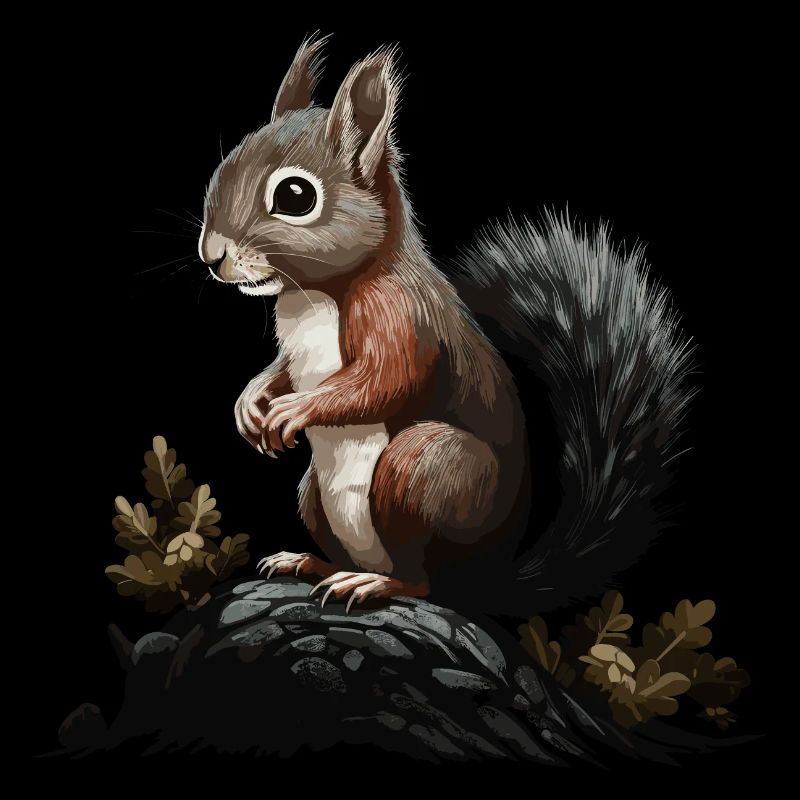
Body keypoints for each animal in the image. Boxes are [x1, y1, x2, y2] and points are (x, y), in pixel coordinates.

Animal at [198, 35, 694, 616]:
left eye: (295, 196)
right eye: (225, 165)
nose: (212, 255)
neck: (314, 295)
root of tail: (486, 582)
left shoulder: (400, 315)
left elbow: (383, 378)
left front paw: (293, 409)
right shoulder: (304, 346)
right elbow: (280, 368)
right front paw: (250, 403)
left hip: (426, 469)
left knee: (422, 578)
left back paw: (372, 583)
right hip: (315, 492)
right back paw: (309, 562)